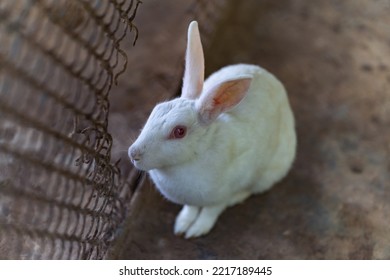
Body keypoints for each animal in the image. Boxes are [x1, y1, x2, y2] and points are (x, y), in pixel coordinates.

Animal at [128, 21, 296, 238]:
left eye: (179, 131)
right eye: (154, 110)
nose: (133, 154)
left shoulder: (219, 198)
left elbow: (210, 212)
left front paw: (196, 230)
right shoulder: (190, 200)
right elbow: (190, 209)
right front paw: (182, 225)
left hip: (270, 172)